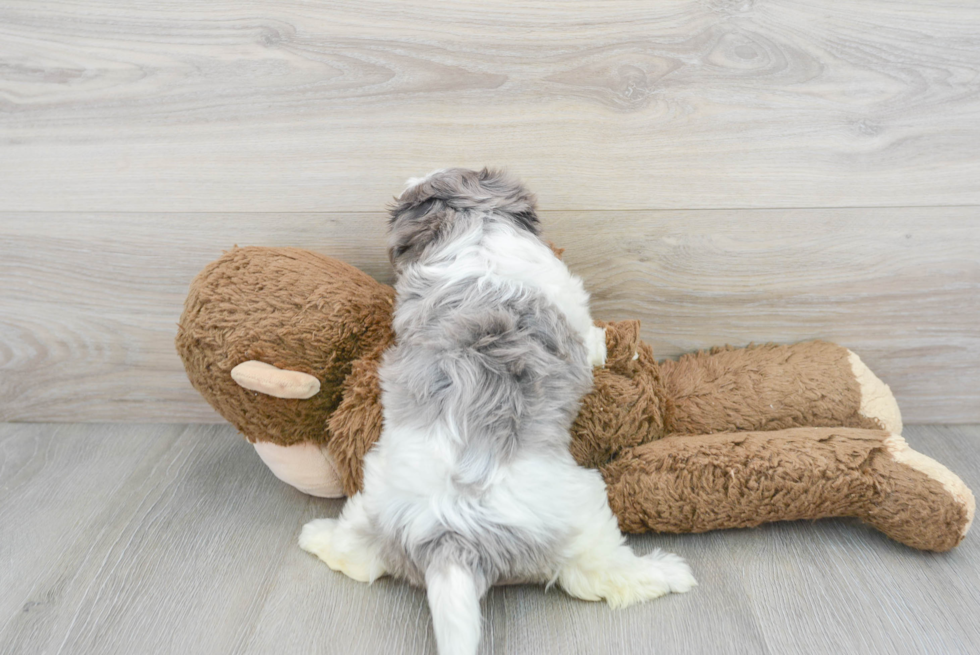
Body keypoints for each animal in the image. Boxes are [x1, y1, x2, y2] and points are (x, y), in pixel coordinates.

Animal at [302, 169, 692, 655]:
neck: (476, 231)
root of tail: (450, 538)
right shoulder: (574, 314)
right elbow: (593, 339)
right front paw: (610, 346)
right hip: (584, 510)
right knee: (602, 577)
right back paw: (668, 572)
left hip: (373, 501)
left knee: (356, 556)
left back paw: (315, 536)